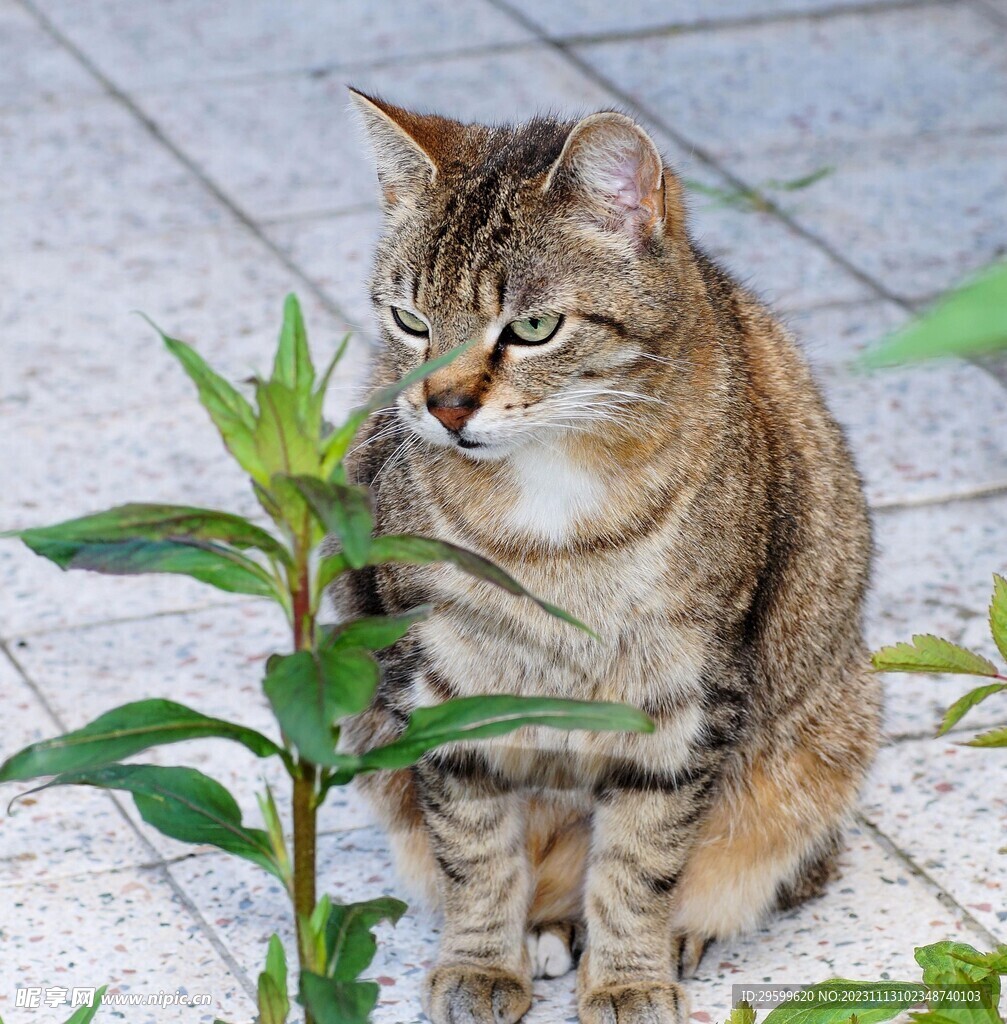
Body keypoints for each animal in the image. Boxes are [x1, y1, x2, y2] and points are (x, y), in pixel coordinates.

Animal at [338, 90, 880, 1024]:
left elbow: (639, 861)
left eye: (531, 327)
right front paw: (482, 963)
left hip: (829, 735)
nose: (442, 407)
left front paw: (628, 978)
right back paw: (546, 927)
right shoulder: (438, 683)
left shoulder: (685, 697)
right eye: (411, 323)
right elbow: (476, 851)